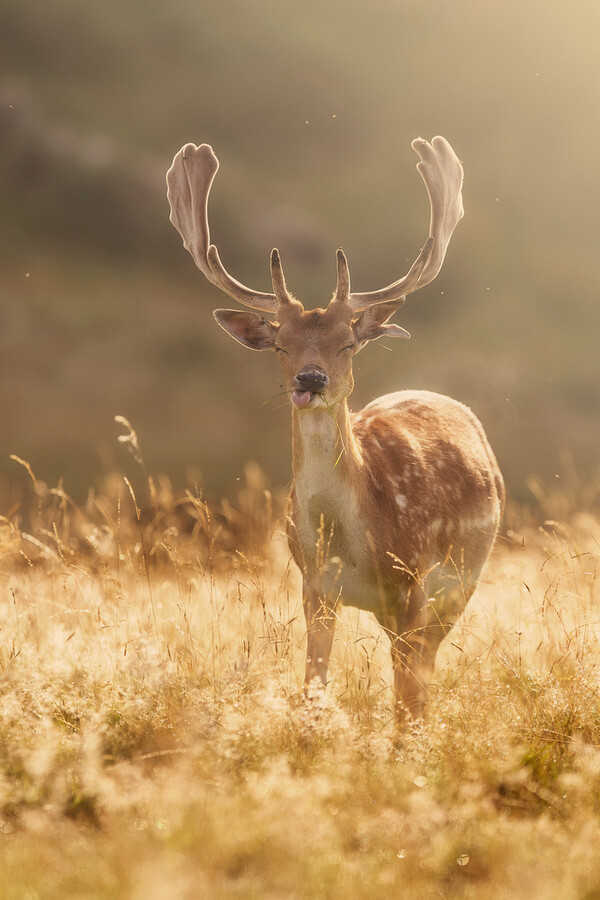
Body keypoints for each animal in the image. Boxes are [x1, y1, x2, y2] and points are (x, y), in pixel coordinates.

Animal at [166, 135, 504, 724]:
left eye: (348, 341)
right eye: (280, 345)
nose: (311, 378)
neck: (352, 541)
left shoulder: (412, 581)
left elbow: (405, 697)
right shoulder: (313, 586)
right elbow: (313, 687)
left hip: (465, 576)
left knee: (424, 671)